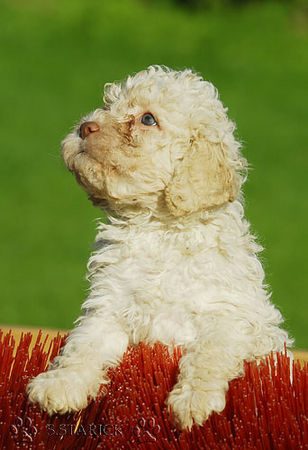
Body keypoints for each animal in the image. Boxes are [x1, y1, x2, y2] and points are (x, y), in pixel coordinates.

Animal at [27, 66, 294, 428]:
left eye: (148, 119)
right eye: (108, 105)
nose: (85, 127)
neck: (158, 229)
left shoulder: (231, 316)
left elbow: (210, 353)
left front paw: (194, 400)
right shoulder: (110, 305)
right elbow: (85, 344)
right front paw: (60, 385)